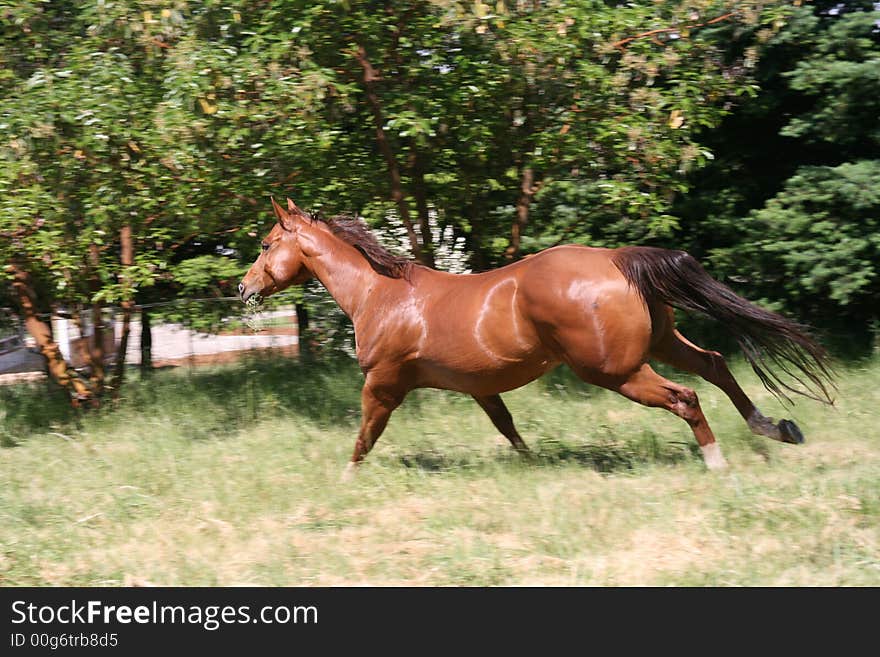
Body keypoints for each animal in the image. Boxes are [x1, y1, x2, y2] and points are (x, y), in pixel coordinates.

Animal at [239, 197, 832, 474]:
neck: (378, 295)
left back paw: (717, 461)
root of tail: (616, 259)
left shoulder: (382, 384)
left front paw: (343, 480)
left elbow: (364, 437)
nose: (244, 287)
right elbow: (508, 429)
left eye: (266, 244)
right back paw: (776, 428)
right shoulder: (480, 388)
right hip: (661, 342)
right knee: (715, 363)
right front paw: (532, 465)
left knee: (686, 397)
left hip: (615, 370)